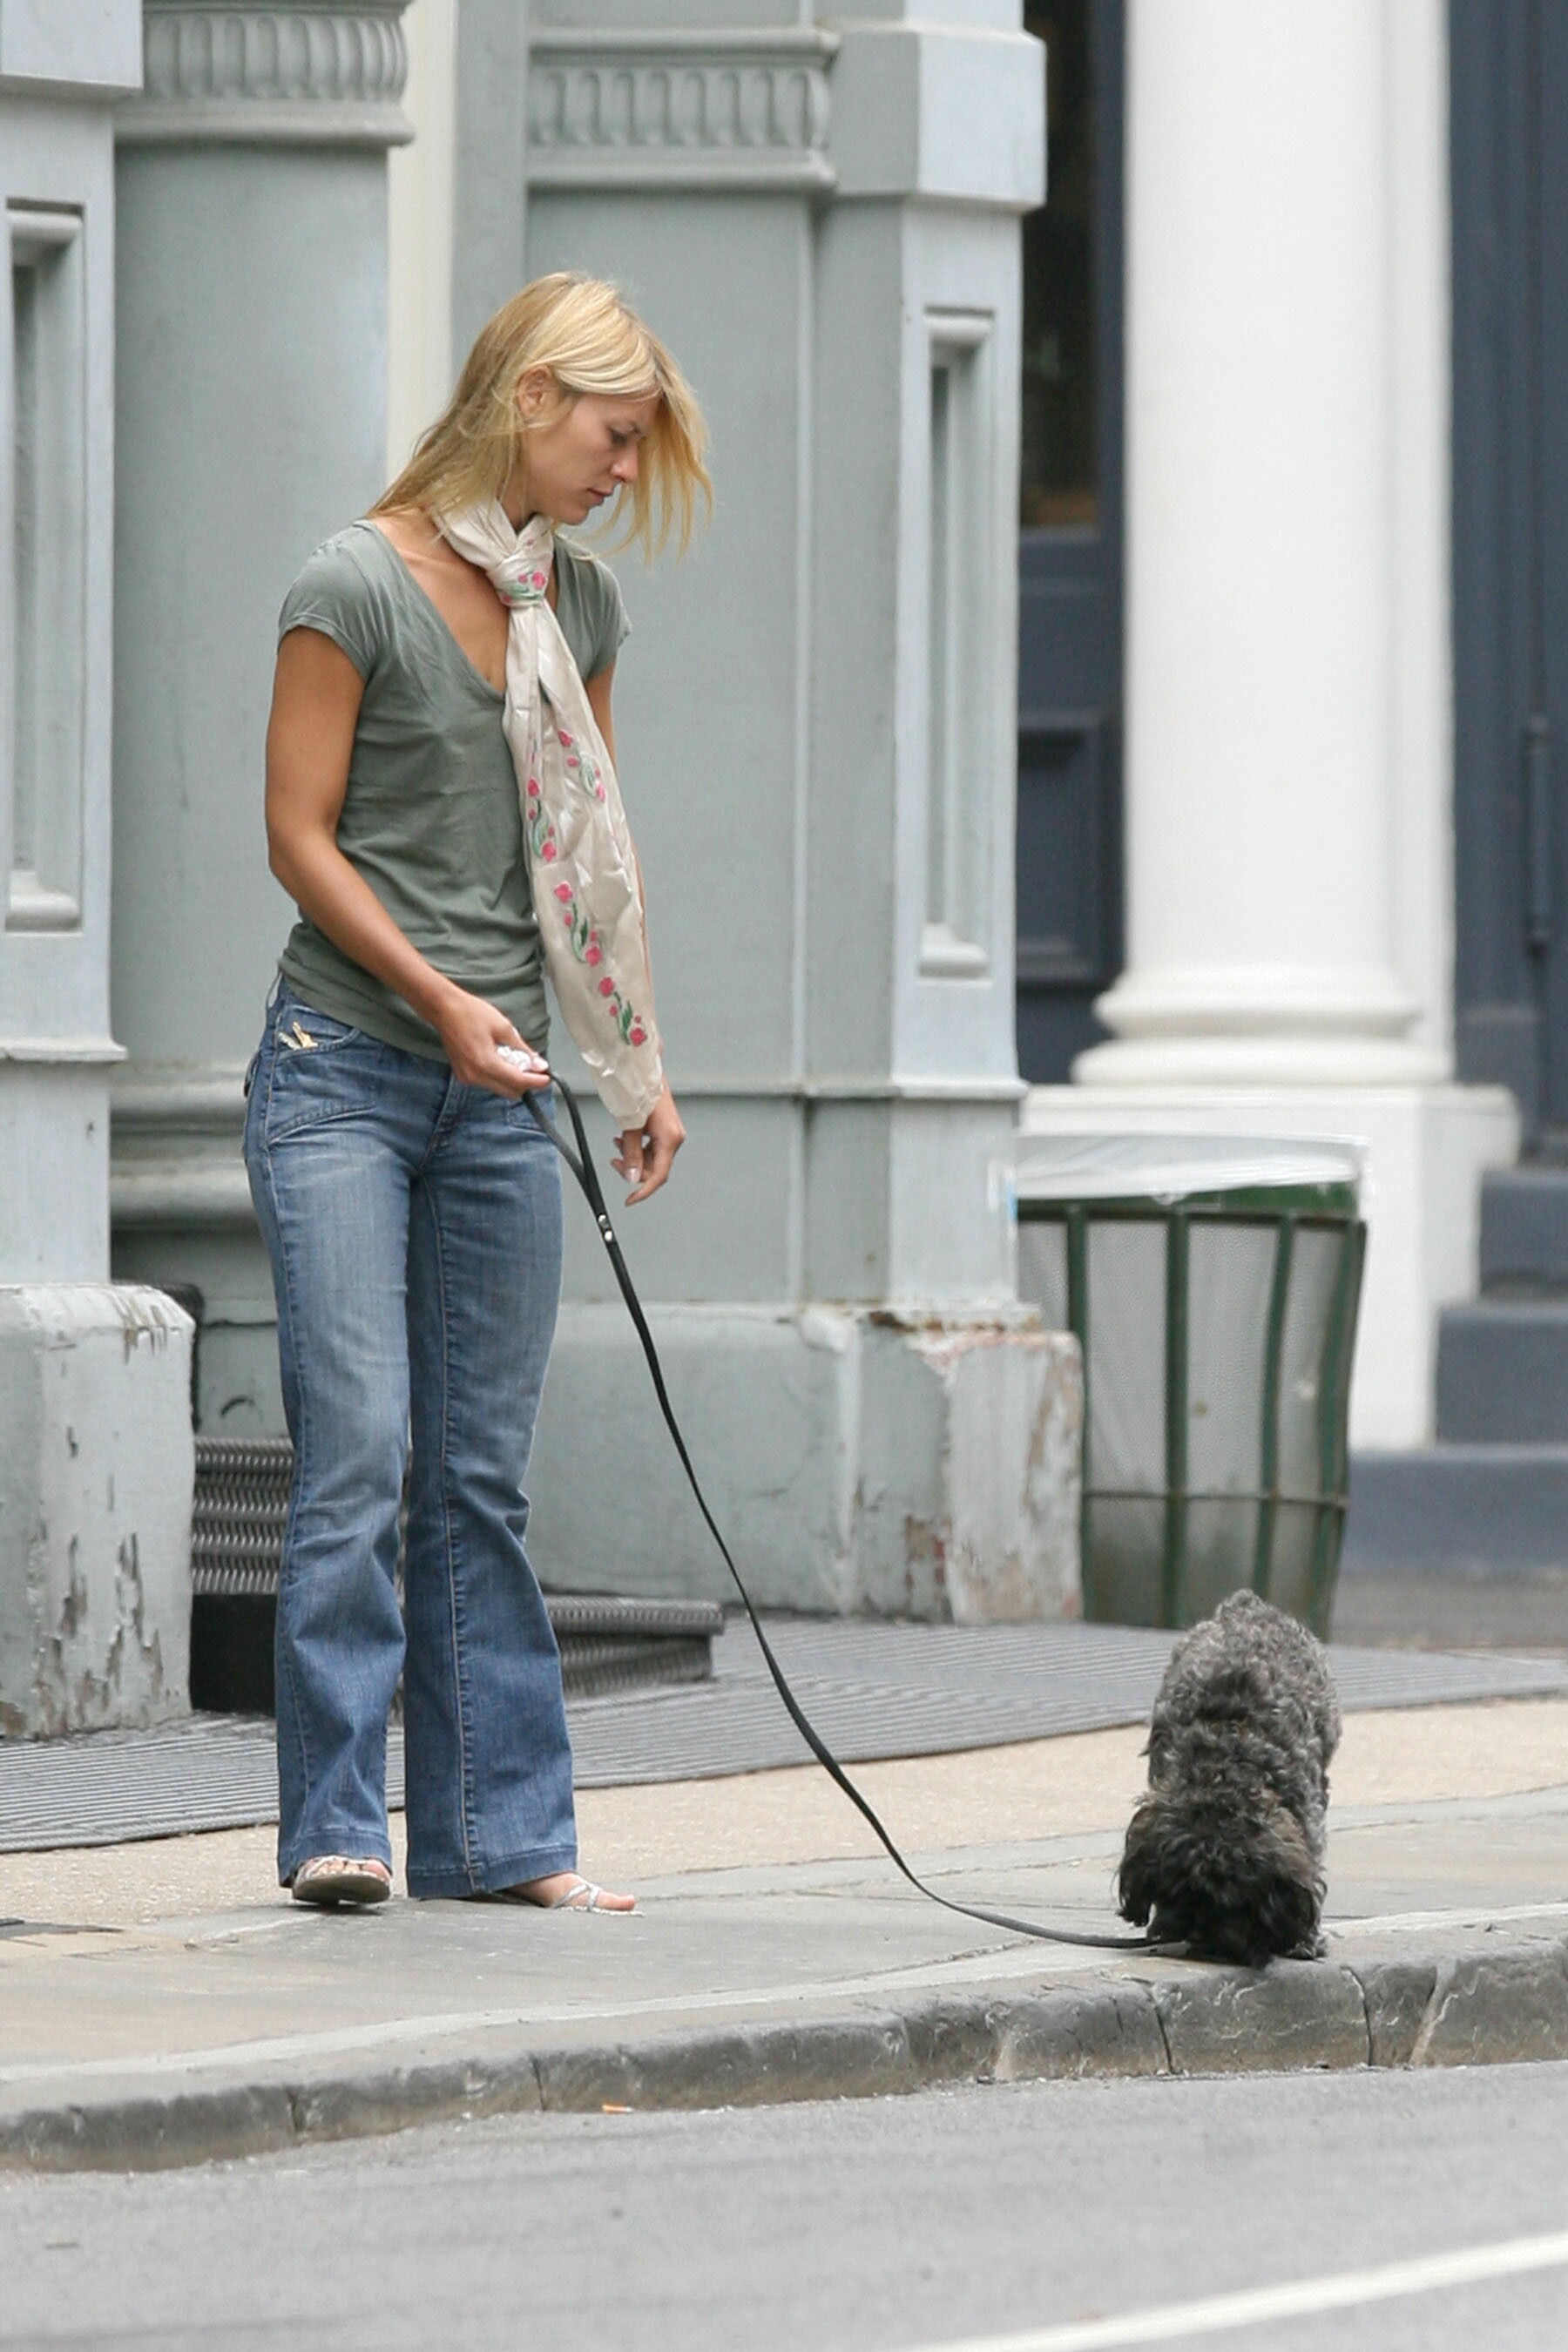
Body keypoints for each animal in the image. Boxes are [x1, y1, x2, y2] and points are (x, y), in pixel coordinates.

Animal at [1114, 1580, 1335, 1966]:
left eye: (1236, 1901)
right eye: (1178, 1889)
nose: (1203, 1933)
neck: (1225, 1763)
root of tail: (1245, 1606)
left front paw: (1303, 1940)